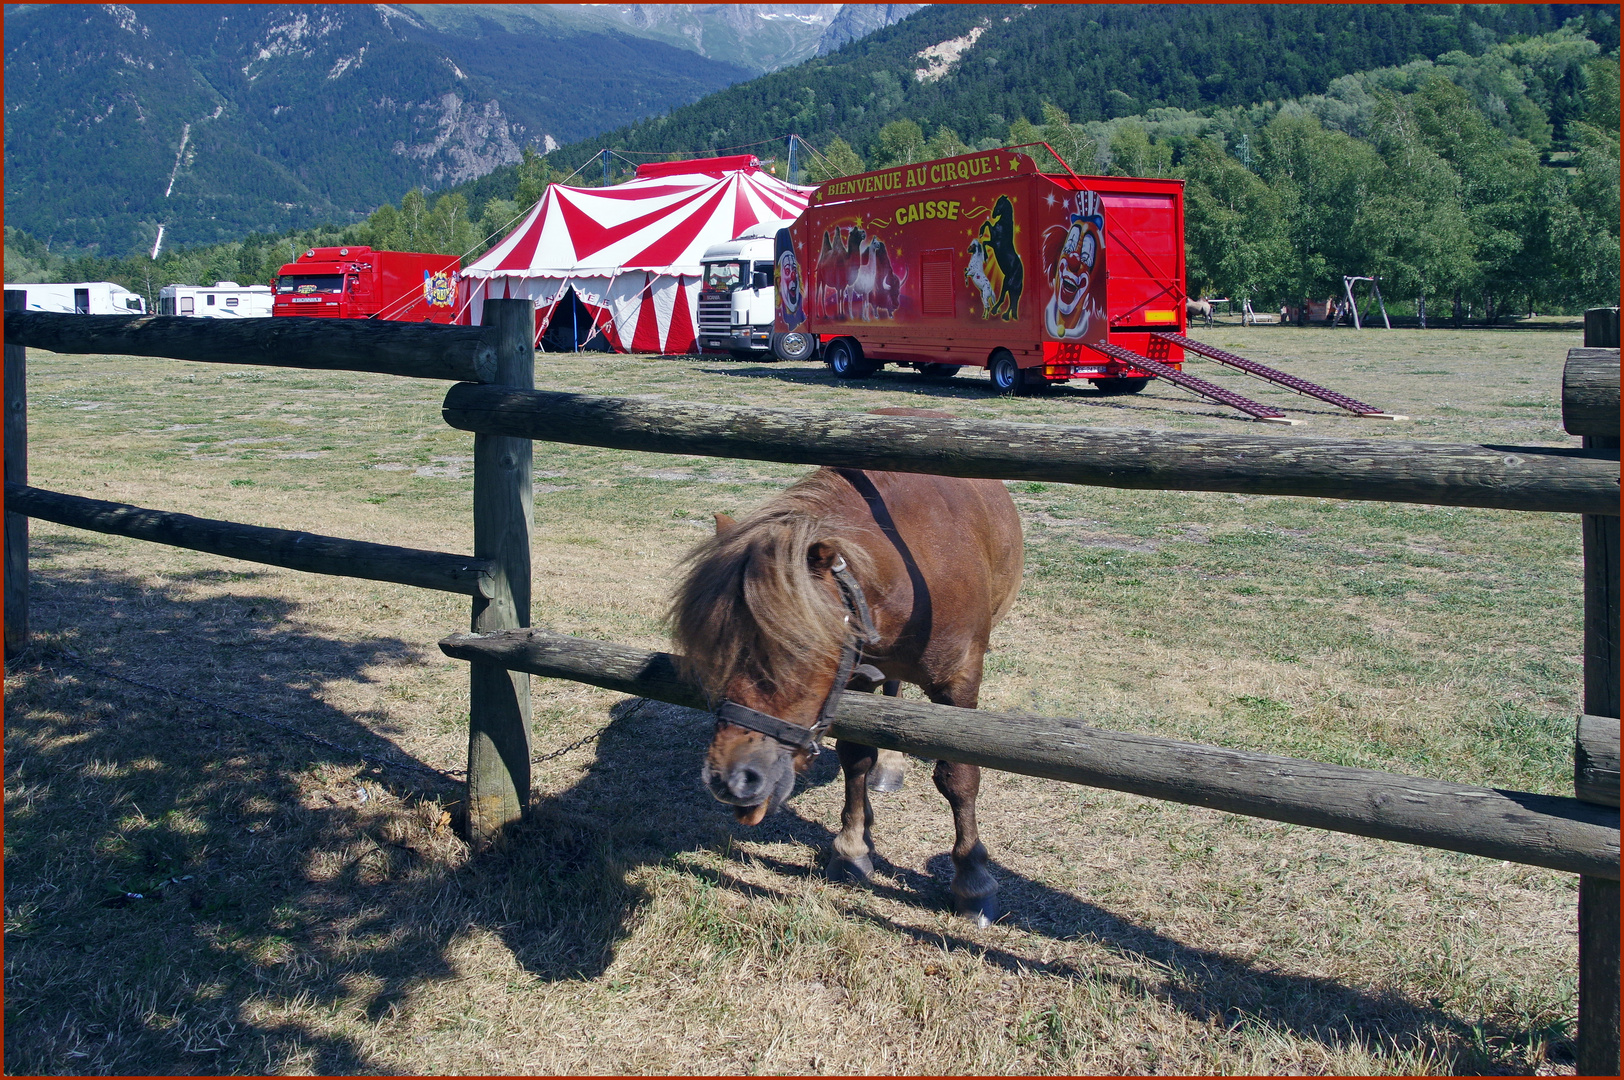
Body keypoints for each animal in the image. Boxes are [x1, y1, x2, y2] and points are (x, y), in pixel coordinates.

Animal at [665, 409, 1019, 922]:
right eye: (716, 650)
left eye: (798, 648)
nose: (730, 779)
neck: (906, 573)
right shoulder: (851, 681)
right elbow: (855, 759)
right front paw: (853, 846)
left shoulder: (960, 681)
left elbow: (959, 776)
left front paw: (973, 878)